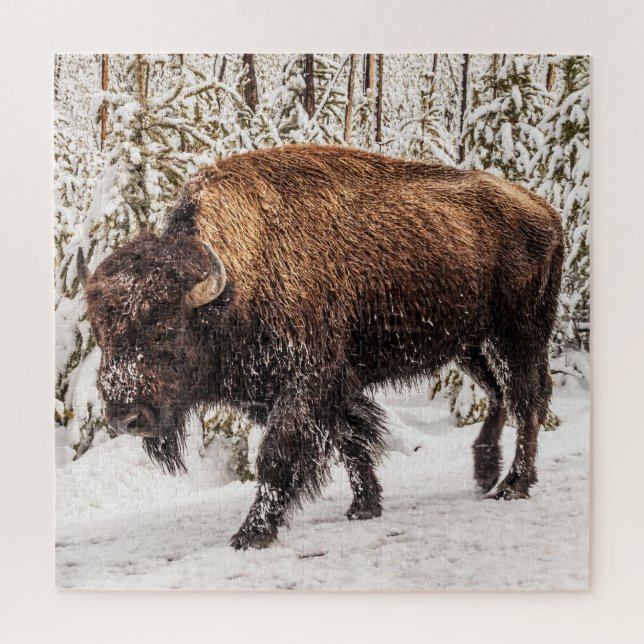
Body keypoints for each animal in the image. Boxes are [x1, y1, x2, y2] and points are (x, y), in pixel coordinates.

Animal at [77, 144, 564, 550]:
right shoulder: (287, 390)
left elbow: (278, 456)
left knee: (527, 399)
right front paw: (364, 507)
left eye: (166, 331)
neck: (239, 281)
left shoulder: (306, 382)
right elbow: (350, 440)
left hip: (517, 335)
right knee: (500, 395)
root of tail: (545, 210)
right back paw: (485, 473)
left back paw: (513, 486)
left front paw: (252, 534)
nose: (125, 418)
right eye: (101, 333)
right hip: (470, 345)